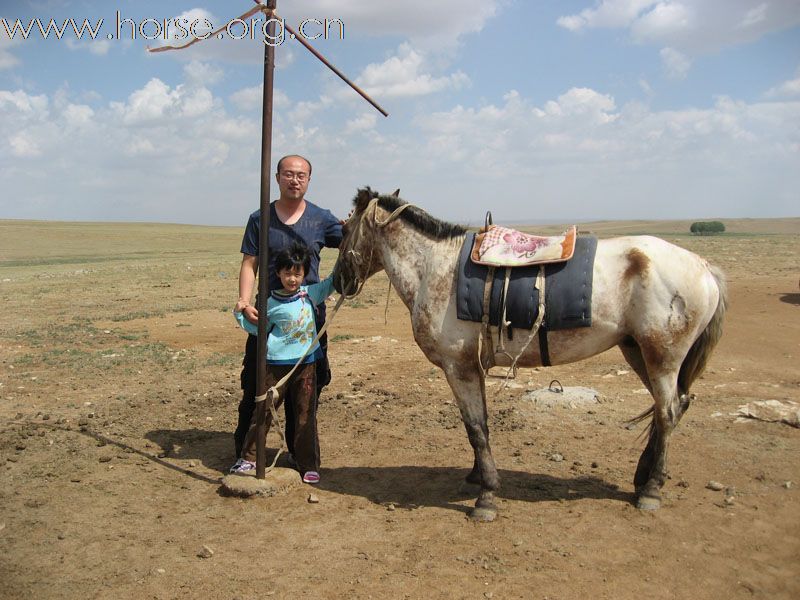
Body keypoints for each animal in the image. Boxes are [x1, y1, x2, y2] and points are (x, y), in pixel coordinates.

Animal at [332, 188, 724, 520]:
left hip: (662, 357)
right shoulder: (473, 367)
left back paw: (651, 491)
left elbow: (476, 427)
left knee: (668, 412)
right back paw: (643, 477)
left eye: (345, 227)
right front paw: (476, 474)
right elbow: (480, 423)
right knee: (671, 407)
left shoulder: (458, 367)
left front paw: (487, 496)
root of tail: (704, 267)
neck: (433, 267)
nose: (337, 282)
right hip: (637, 352)